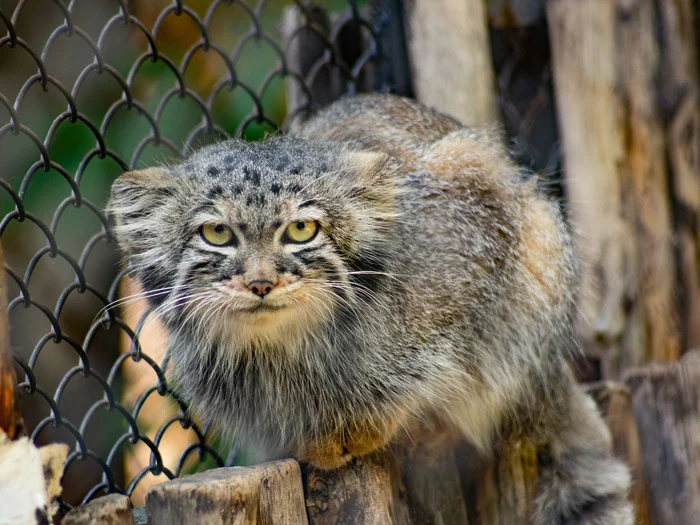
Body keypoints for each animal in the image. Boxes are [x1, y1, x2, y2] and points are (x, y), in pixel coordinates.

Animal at [109, 94, 636, 524]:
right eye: (217, 233)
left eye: (302, 230)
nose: (261, 283)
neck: (286, 349)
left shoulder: (473, 230)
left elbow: (433, 363)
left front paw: (364, 424)